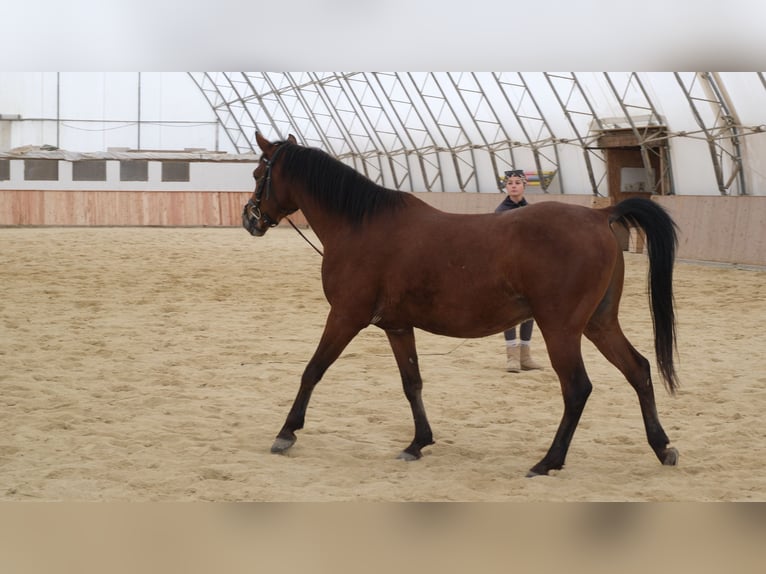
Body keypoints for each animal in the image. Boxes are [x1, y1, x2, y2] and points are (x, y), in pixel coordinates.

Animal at [242, 132, 680, 477]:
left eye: (259, 174)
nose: (250, 219)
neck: (361, 226)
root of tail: (600, 216)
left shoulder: (346, 317)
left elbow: (312, 370)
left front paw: (286, 432)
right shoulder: (397, 326)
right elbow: (412, 383)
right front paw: (418, 442)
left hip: (561, 329)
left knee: (577, 389)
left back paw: (548, 461)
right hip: (598, 324)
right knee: (638, 370)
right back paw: (661, 446)